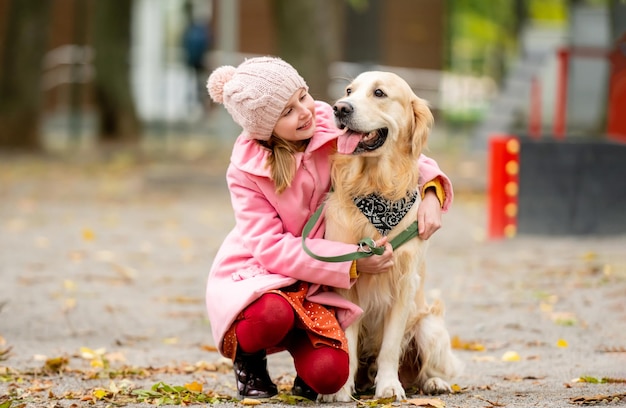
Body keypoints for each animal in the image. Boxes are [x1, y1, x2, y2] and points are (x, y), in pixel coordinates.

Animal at [322, 71, 458, 402]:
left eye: (379, 93)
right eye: (349, 91)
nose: (339, 108)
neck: (376, 187)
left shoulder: (404, 283)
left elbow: (390, 347)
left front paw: (388, 386)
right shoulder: (345, 284)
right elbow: (348, 343)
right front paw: (340, 389)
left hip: (429, 325)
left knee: (424, 369)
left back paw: (433, 383)